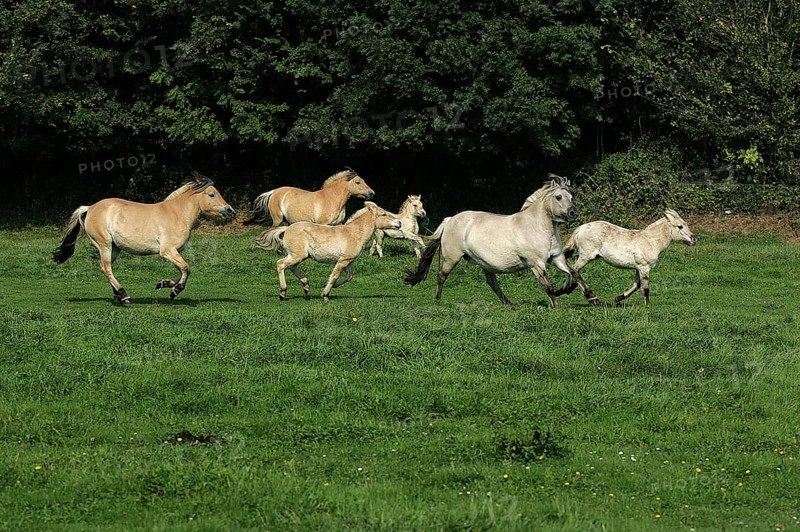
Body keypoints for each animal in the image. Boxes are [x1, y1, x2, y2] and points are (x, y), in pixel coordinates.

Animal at [52, 172, 236, 304]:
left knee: (107, 268)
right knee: (105, 268)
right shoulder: (167, 251)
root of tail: (89, 208)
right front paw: (175, 291)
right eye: (211, 194)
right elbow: (186, 268)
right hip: (104, 244)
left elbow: (181, 270)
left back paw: (119, 296)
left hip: (114, 248)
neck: (177, 214)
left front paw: (164, 284)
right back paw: (124, 296)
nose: (230, 211)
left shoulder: (175, 252)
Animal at [243, 167, 375, 228]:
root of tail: (274, 192)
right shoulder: (322, 224)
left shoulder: (338, 224)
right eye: (358, 182)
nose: (372, 193)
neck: (332, 199)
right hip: (277, 220)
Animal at [253, 202, 401, 301]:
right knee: (281, 264)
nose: (399, 224)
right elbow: (335, 275)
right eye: (383, 214)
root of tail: (287, 229)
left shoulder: (348, 261)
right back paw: (283, 293)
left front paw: (326, 287)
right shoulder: (343, 260)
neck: (354, 234)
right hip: (297, 255)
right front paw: (325, 295)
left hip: (300, 256)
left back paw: (306, 286)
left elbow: (349, 276)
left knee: (291, 267)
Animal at [403, 176, 600, 307]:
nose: (574, 213)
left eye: (571, 197)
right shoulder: (537, 264)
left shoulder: (556, 258)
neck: (536, 227)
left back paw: (508, 303)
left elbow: (575, 273)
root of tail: (450, 220)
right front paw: (555, 305)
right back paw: (437, 299)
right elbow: (547, 285)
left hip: (485, 264)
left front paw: (593, 298)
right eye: (558, 197)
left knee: (493, 284)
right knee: (441, 276)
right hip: (452, 258)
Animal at [558, 209, 697, 305]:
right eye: (680, 226)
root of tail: (580, 229)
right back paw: (592, 298)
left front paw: (618, 298)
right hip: (586, 256)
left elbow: (637, 285)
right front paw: (647, 305)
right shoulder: (644, 267)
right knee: (573, 269)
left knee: (571, 268)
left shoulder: (638, 268)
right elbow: (645, 287)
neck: (650, 241)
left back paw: (564, 290)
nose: (694, 239)